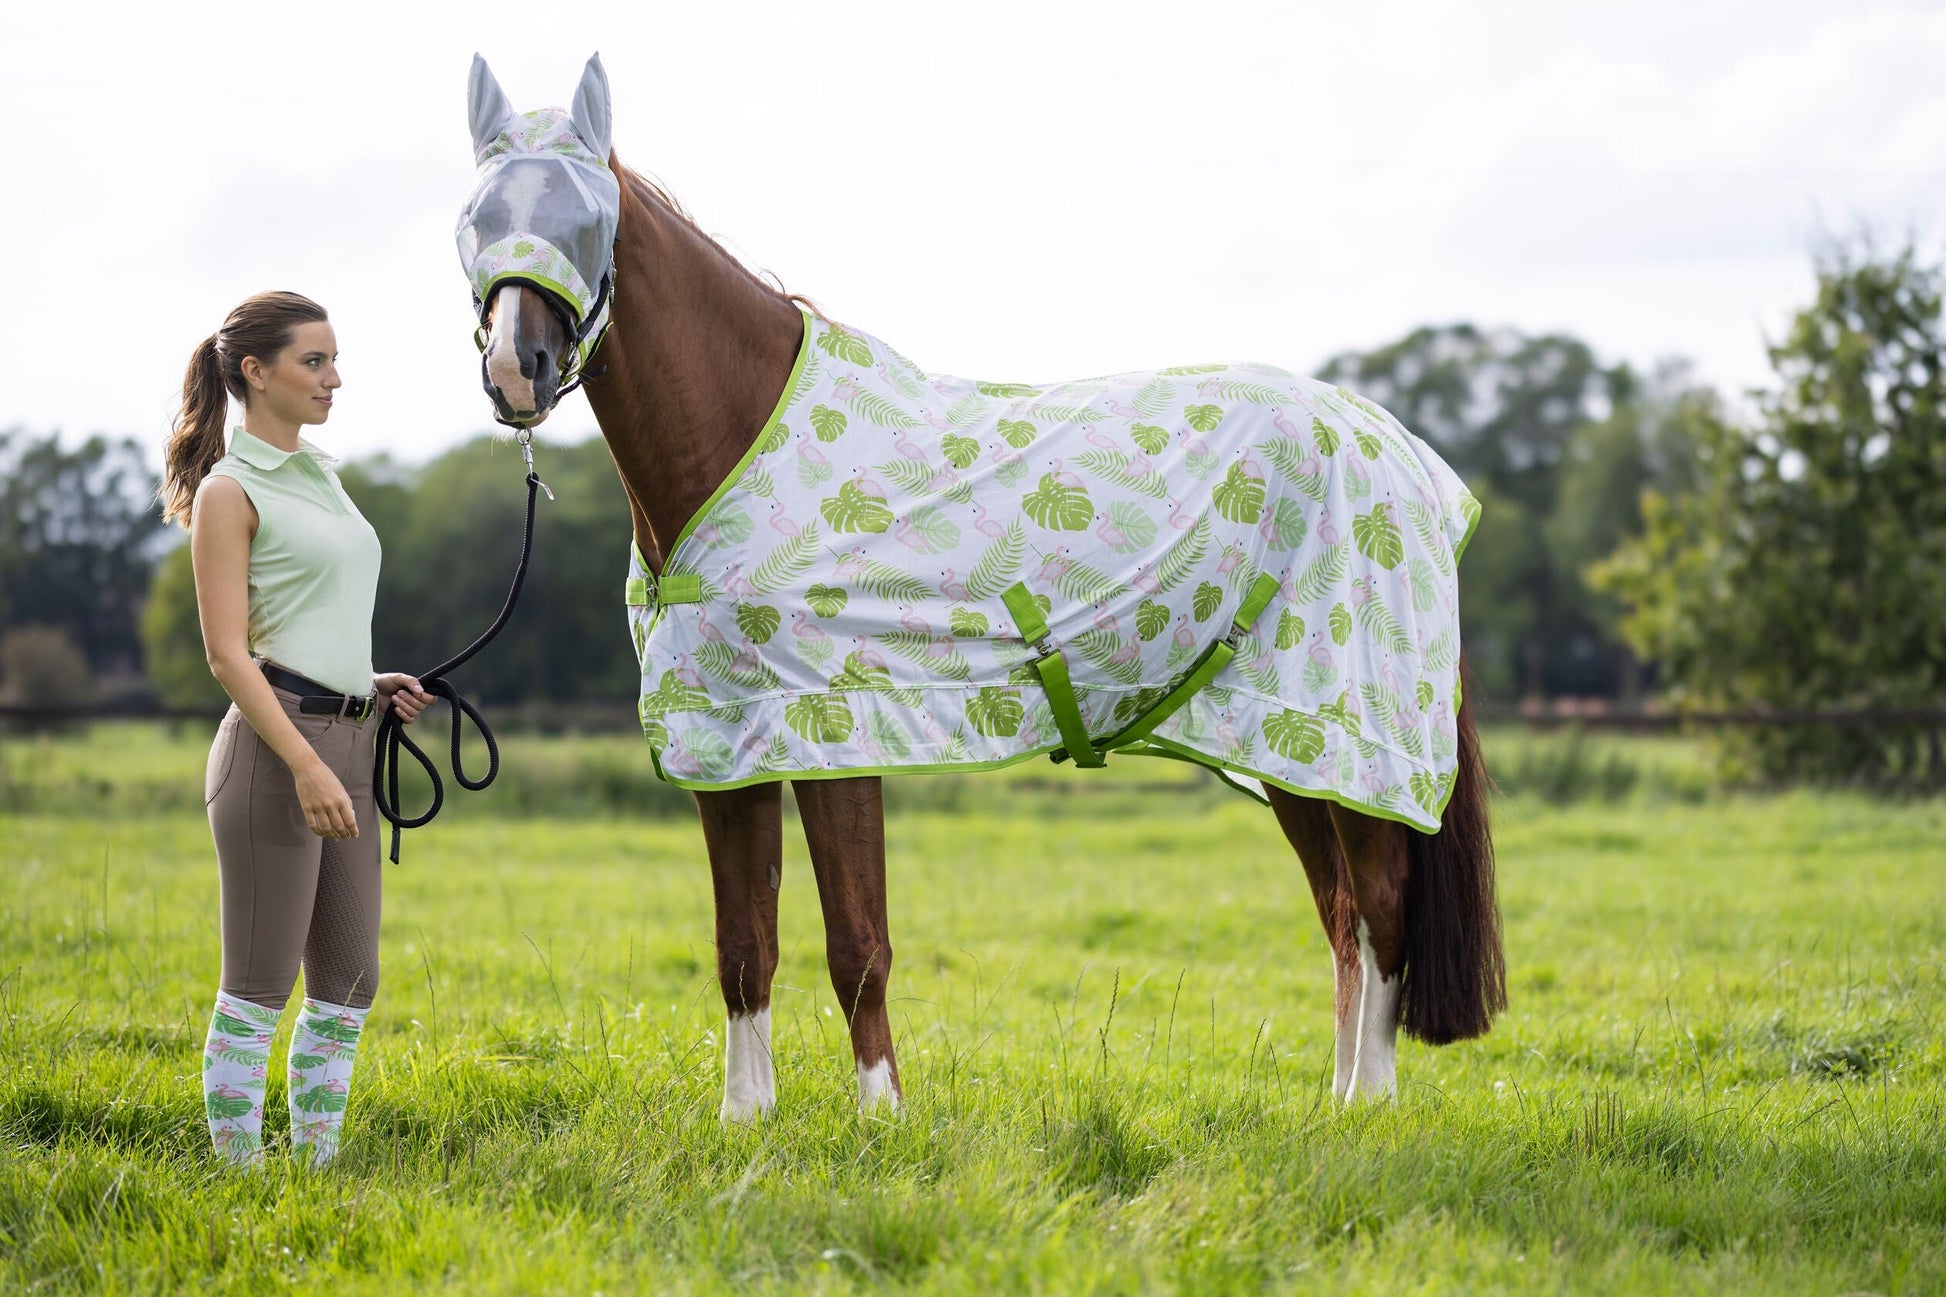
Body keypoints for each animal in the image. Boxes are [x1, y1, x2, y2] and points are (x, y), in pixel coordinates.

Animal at [454, 54, 1504, 1119]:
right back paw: (1339, 1101)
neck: (740, 436)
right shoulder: (725, 740)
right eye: (475, 215)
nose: (517, 368)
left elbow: (857, 947)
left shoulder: (835, 728)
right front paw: (745, 1119)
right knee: (1342, 912)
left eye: (592, 216)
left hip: (1351, 734)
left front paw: (882, 1116)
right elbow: (744, 947)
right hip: (1279, 741)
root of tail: (1405, 454)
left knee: (1380, 904)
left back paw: (1369, 1105)